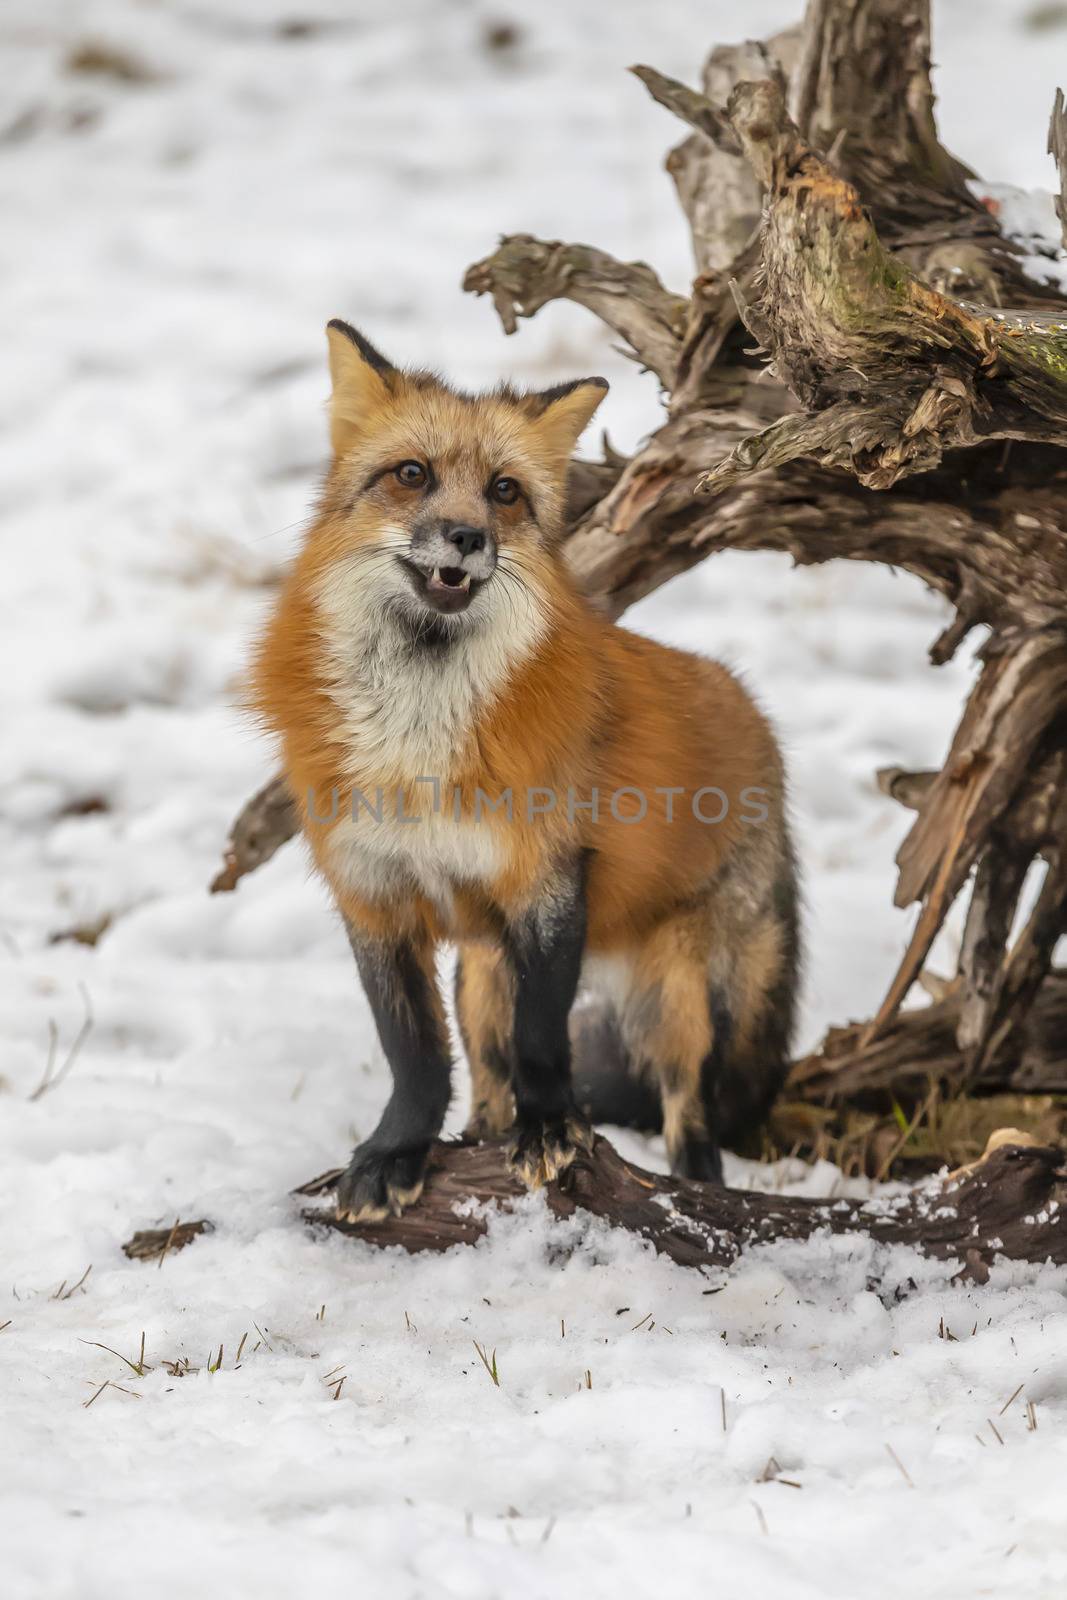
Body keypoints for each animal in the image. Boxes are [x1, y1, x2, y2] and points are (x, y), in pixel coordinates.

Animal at [252, 324, 799, 1222]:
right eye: (411, 474)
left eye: (503, 491)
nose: (467, 537)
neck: (415, 743)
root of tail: (753, 712)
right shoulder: (373, 893)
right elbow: (414, 1055)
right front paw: (396, 1153)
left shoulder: (546, 883)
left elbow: (543, 1042)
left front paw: (552, 1131)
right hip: (482, 973)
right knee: (486, 1074)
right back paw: (480, 1134)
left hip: (675, 992)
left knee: (688, 1108)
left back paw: (693, 1185)